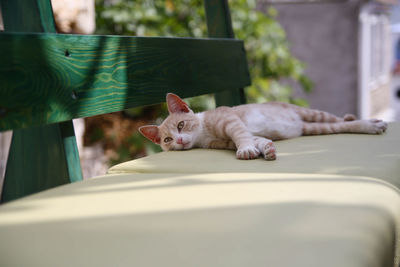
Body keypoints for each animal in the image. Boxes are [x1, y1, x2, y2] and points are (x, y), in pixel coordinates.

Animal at [140, 93, 388, 160]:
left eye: (181, 125)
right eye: (167, 140)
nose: (180, 140)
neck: (203, 133)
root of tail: (299, 124)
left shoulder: (231, 121)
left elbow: (242, 136)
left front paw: (246, 149)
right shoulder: (224, 141)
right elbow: (254, 139)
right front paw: (265, 148)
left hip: (311, 113)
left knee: (341, 120)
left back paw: (371, 124)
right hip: (316, 127)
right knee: (339, 126)